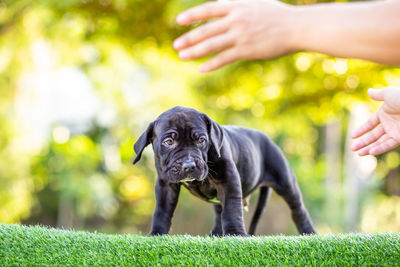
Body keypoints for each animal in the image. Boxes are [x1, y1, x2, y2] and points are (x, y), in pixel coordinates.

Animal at [134, 107, 316, 237]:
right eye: (168, 142)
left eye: (201, 140)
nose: (189, 165)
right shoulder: (166, 185)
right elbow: (162, 210)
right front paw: (156, 234)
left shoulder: (228, 180)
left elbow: (232, 209)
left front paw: (236, 234)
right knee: (218, 212)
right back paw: (215, 234)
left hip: (286, 181)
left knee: (298, 209)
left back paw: (309, 233)